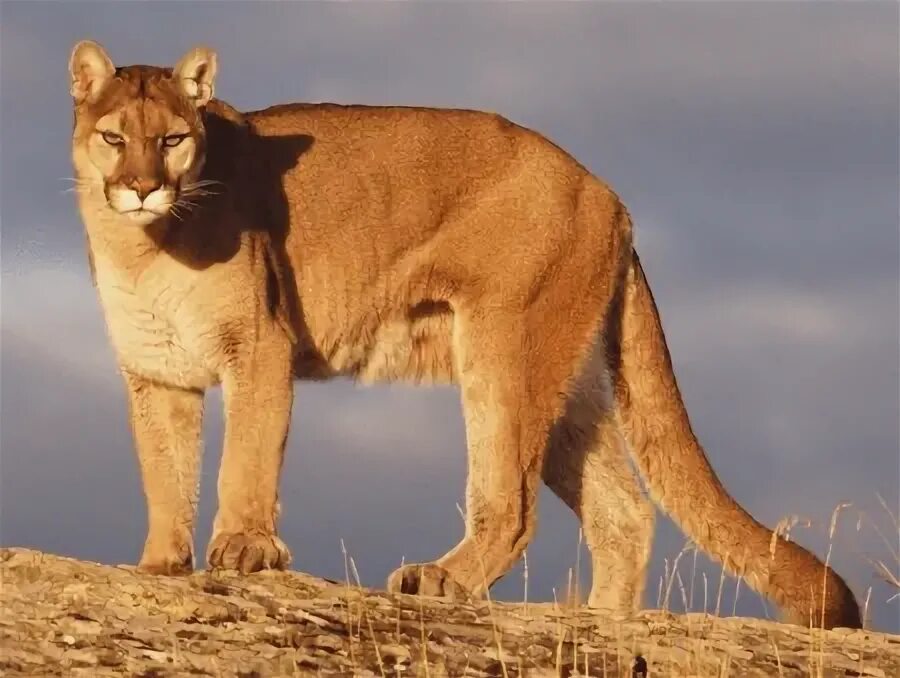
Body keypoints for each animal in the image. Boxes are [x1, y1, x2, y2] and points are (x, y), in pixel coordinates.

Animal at [68, 39, 856, 628]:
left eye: (173, 139)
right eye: (114, 138)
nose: (142, 187)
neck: (144, 247)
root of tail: (608, 192)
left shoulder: (259, 348)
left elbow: (244, 461)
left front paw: (243, 550)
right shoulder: (156, 371)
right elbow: (165, 473)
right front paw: (159, 564)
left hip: (503, 350)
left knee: (511, 503)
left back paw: (442, 580)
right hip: (567, 384)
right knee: (625, 509)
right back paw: (599, 621)